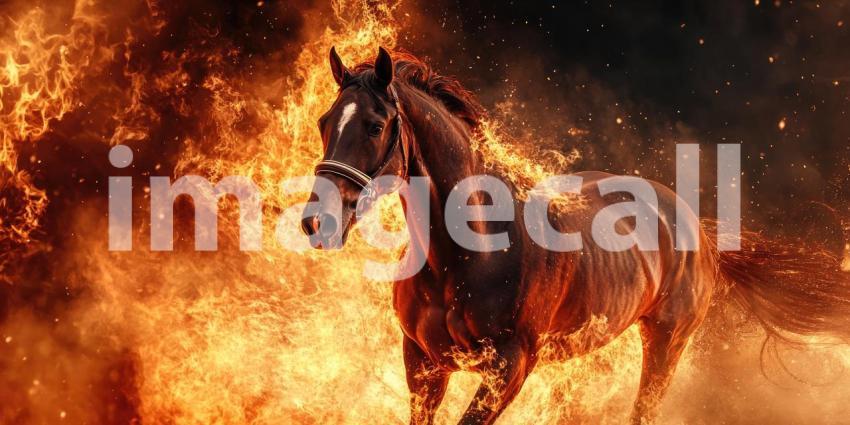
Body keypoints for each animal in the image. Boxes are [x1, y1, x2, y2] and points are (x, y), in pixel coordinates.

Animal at [301, 47, 850, 424]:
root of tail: (700, 232)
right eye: (325, 121)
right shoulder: (423, 363)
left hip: (666, 345)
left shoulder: (509, 368)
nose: (316, 221)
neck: (467, 254)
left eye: (374, 125)